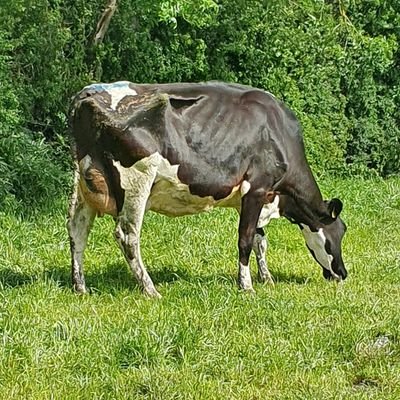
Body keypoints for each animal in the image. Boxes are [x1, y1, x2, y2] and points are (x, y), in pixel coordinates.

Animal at [66, 81, 346, 298]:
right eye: (339, 232)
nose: (343, 273)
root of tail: (87, 92)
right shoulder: (256, 187)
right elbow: (245, 240)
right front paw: (246, 286)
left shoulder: (255, 197)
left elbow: (260, 241)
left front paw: (267, 279)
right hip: (137, 179)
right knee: (127, 235)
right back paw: (150, 289)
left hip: (82, 181)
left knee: (77, 229)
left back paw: (81, 288)